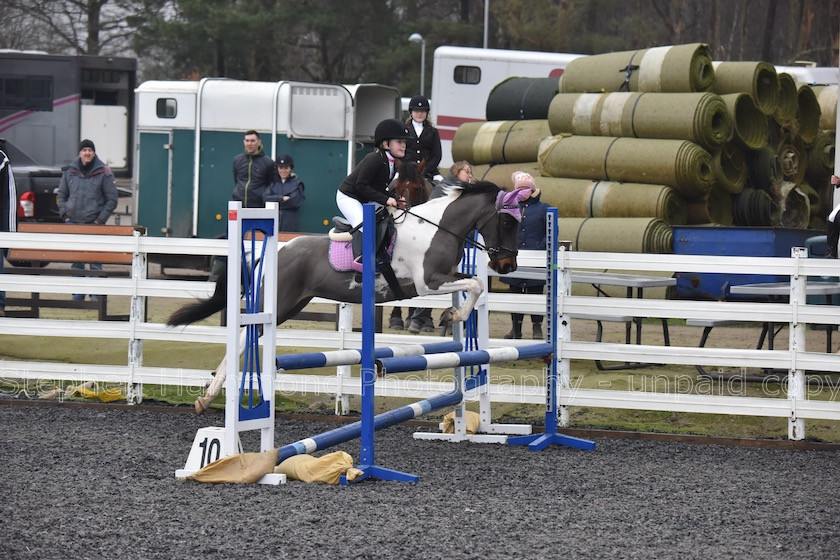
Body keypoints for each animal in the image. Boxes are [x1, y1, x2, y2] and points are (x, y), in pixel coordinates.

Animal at [167, 179, 528, 412]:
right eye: (508, 222)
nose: (507, 265)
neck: (437, 227)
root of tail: (271, 251)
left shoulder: (443, 279)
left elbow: (474, 284)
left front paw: (450, 316)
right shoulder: (428, 283)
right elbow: (475, 285)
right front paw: (453, 315)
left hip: (292, 304)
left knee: (250, 337)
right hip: (279, 303)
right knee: (245, 338)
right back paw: (209, 394)